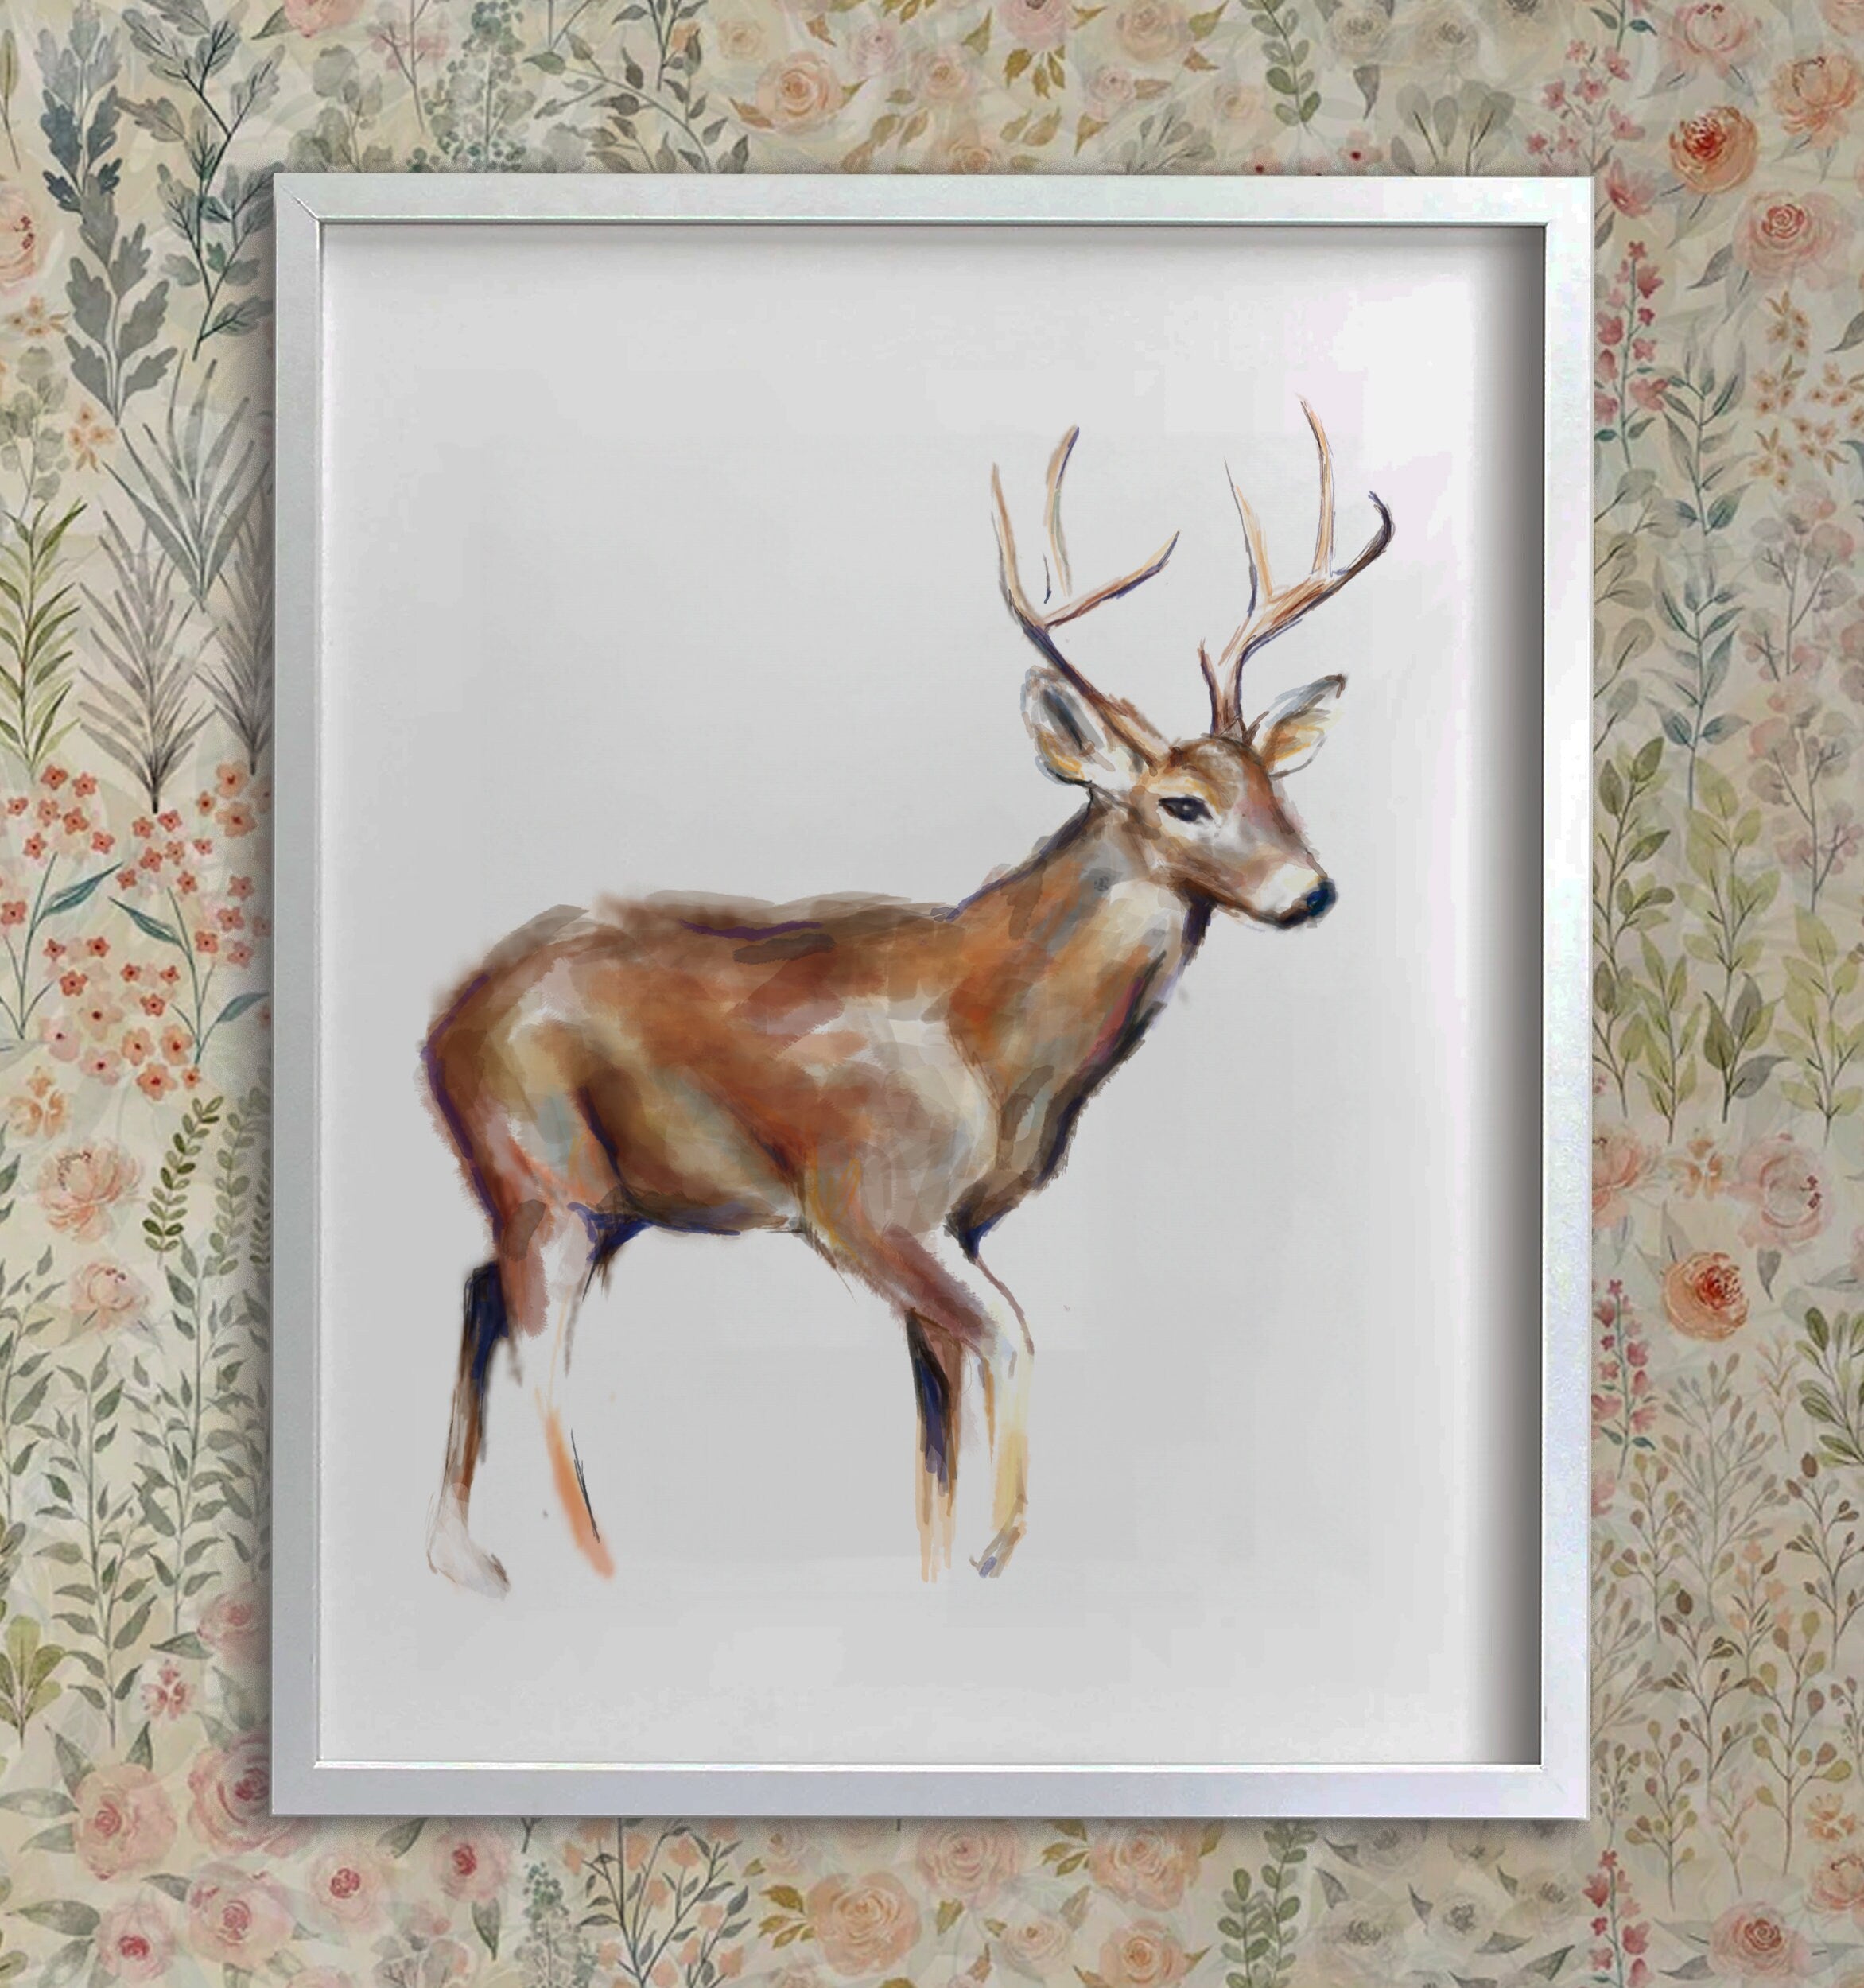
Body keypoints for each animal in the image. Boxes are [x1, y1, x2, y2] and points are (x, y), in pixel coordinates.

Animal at [423, 403, 1392, 1597]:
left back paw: (468, 1559)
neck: (994, 1038)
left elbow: (936, 1443)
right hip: (547, 1172)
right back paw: (590, 1564)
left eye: (1273, 787)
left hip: (579, 1195)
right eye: (1183, 802)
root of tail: (441, 1024)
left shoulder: (954, 1225)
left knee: (480, 1296)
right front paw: (998, 1550)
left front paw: (942, 1568)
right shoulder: (871, 1204)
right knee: (541, 1351)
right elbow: (1013, 1335)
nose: (1311, 890)